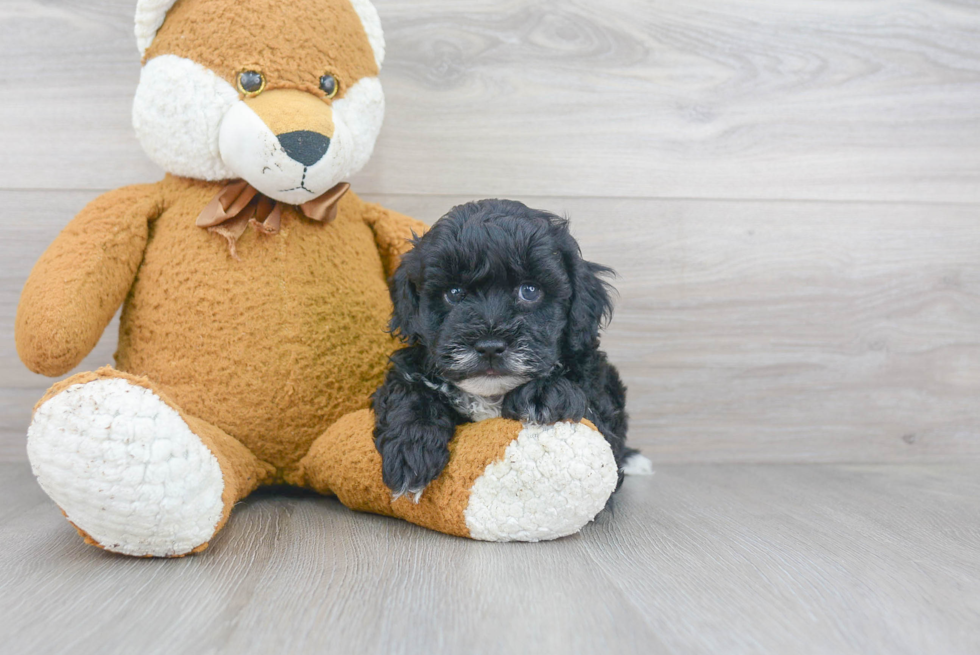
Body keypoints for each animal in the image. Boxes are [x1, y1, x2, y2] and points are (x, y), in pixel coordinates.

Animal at [372, 197, 640, 500]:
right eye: (454, 293)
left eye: (530, 290)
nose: (490, 347)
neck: (491, 395)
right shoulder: (409, 368)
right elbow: (408, 392)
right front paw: (411, 451)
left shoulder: (599, 401)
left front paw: (544, 392)